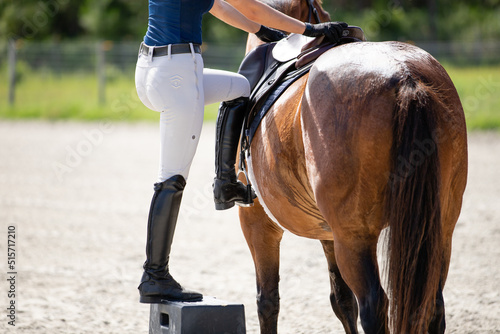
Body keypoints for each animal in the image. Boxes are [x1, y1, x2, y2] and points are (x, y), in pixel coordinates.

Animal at [238, 0, 468, 334]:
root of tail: (404, 75)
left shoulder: (258, 223)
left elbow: (267, 301)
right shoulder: (327, 232)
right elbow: (341, 300)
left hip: (354, 238)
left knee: (374, 305)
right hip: (439, 228)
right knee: (431, 304)